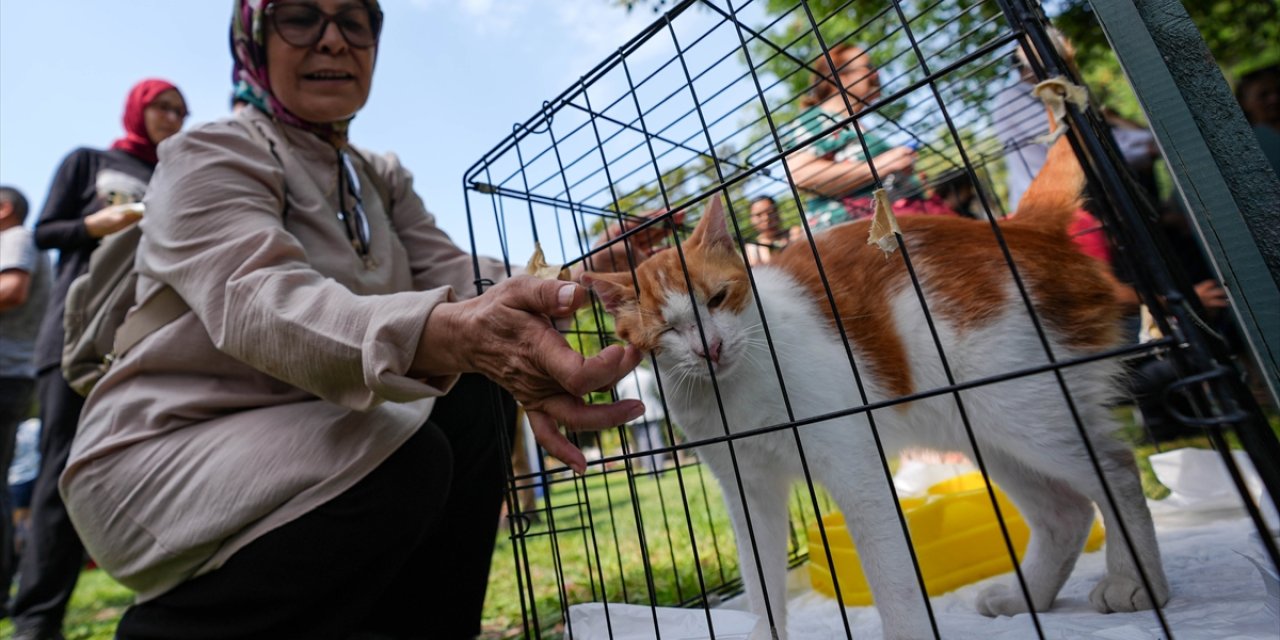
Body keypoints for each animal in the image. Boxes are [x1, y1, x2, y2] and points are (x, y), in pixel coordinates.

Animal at [586, 132, 1172, 637]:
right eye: (667, 330)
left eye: (718, 297)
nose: (709, 348)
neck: (734, 391)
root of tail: (1016, 228)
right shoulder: (747, 488)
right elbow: (761, 584)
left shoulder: (853, 463)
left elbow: (889, 570)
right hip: (981, 425)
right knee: (1065, 512)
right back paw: (1026, 596)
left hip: (1021, 403)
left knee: (1117, 469)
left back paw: (1134, 579)